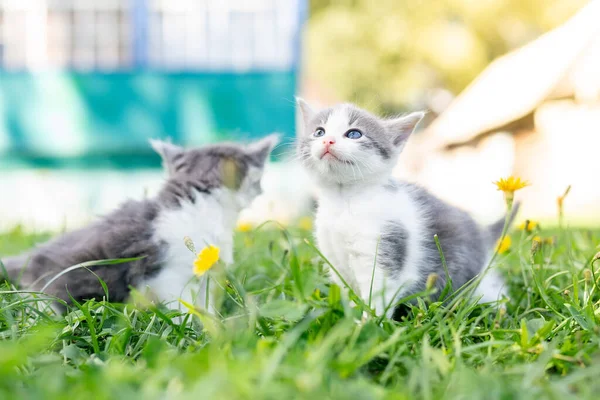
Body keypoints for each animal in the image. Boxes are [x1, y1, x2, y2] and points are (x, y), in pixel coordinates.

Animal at [0, 136, 278, 314]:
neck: (199, 207)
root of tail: (30, 258)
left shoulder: (204, 275)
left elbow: (205, 303)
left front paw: (215, 324)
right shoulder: (166, 274)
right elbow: (183, 308)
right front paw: (198, 331)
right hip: (50, 293)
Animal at [296, 100, 516, 318]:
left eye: (354, 134)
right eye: (319, 132)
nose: (328, 141)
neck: (343, 200)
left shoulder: (385, 244)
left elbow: (377, 293)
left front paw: (368, 322)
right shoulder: (333, 254)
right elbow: (347, 290)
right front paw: (347, 315)